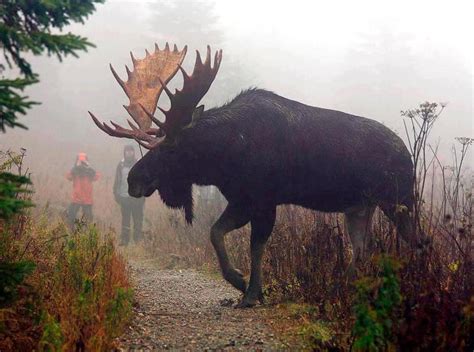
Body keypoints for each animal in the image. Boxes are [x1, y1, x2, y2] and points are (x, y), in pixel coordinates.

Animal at [90, 43, 414, 308]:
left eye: (171, 148)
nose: (133, 180)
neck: (226, 154)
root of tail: (407, 153)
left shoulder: (264, 199)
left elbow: (255, 246)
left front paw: (251, 293)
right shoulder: (241, 199)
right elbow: (215, 232)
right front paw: (239, 281)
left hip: (399, 199)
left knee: (416, 241)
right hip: (359, 207)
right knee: (362, 249)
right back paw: (345, 290)